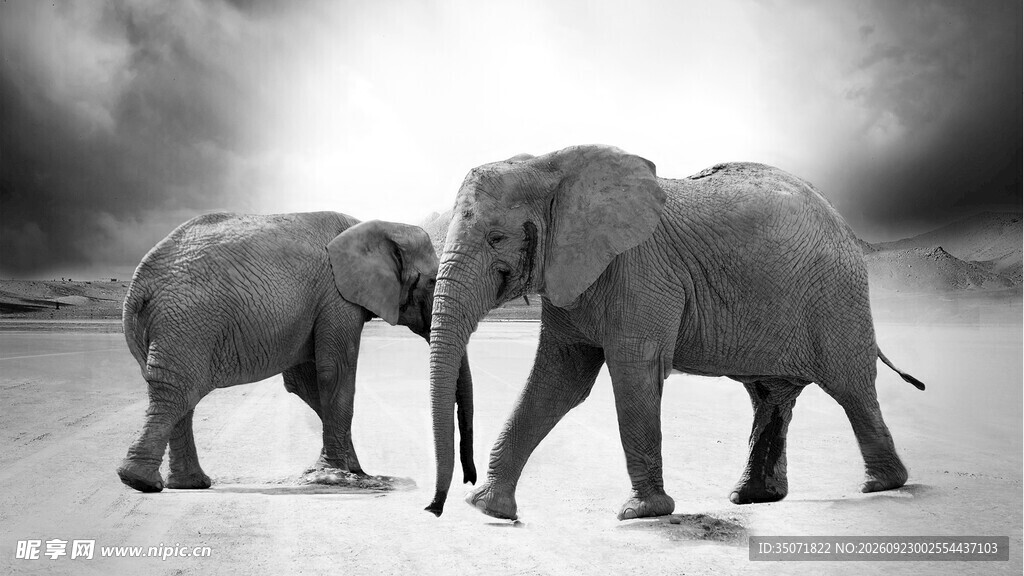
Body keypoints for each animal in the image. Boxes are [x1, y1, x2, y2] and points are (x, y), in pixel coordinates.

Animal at [117, 211, 477, 493]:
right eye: (432, 282)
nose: (469, 481)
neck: (377, 226)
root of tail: (138, 286)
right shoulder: (336, 296)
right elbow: (334, 373)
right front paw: (340, 474)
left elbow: (306, 382)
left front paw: (354, 470)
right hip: (187, 323)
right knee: (178, 392)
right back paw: (141, 482)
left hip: (172, 328)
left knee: (179, 395)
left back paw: (188, 484)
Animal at [424, 145, 924, 520]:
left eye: (496, 239)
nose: (435, 508)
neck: (550, 166)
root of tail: (842, 222)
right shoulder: (573, 278)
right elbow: (558, 380)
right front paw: (488, 508)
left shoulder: (641, 272)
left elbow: (633, 373)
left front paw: (642, 513)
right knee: (770, 396)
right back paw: (753, 497)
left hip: (837, 297)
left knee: (851, 387)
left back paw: (881, 484)